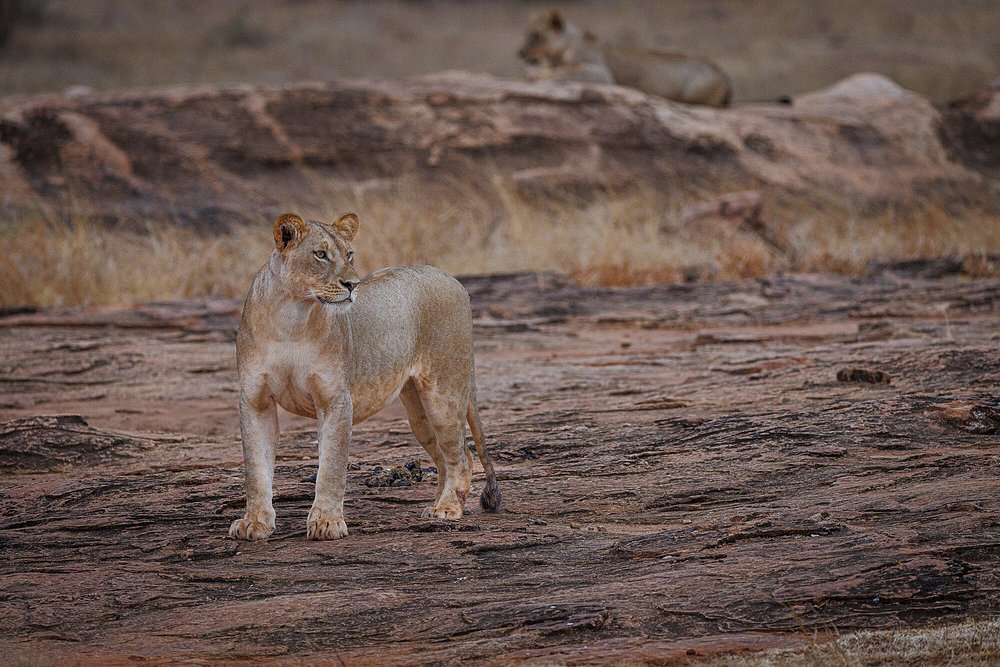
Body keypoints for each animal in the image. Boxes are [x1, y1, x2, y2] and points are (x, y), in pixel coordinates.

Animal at [232, 214, 500, 544]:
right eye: (320, 254)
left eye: (349, 254)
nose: (352, 284)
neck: (291, 317)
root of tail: (453, 279)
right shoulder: (255, 400)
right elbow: (256, 469)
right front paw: (254, 522)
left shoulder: (334, 399)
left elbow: (331, 468)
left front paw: (327, 523)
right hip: (419, 412)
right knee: (445, 457)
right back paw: (437, 505)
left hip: (444, 393)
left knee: (461, 457)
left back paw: (448, 508)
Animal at [520, 9, 732, 107]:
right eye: (527, 33)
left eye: (535, 35)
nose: (519, 53)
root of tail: (724, 75)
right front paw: (536, 71)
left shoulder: (600, 72)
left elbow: (565, 70)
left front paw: (535, 75)